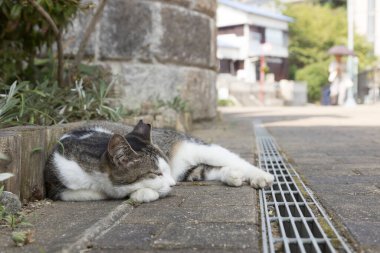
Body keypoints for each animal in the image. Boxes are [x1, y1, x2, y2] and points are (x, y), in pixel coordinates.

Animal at [44, 119, 274, 203]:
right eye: (155, 173)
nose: (172, 184)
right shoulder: (58, 187)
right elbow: (98, 193)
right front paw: (144, 192)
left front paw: (143, 193)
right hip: (187, 172)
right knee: (205, 170)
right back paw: (232, 176)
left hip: (202, 149)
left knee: (237, 160)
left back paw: (260, 176)